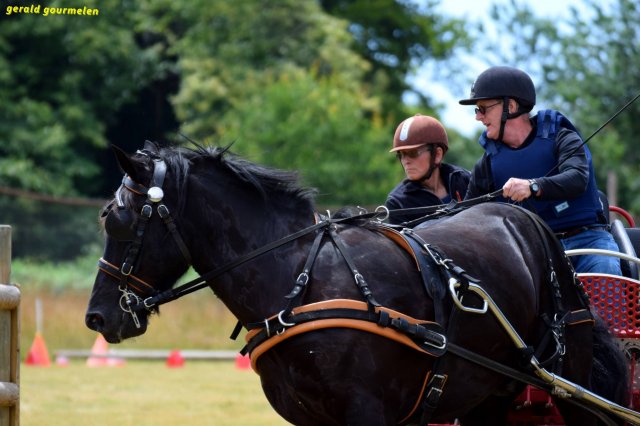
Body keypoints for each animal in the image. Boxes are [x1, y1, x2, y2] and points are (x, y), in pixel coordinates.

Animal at [85, 142, 629, 425]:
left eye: (118, 220)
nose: (98, 316)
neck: (297, 284)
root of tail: (526, 220)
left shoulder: (366, 415)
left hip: (568, 382)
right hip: (492, 395)